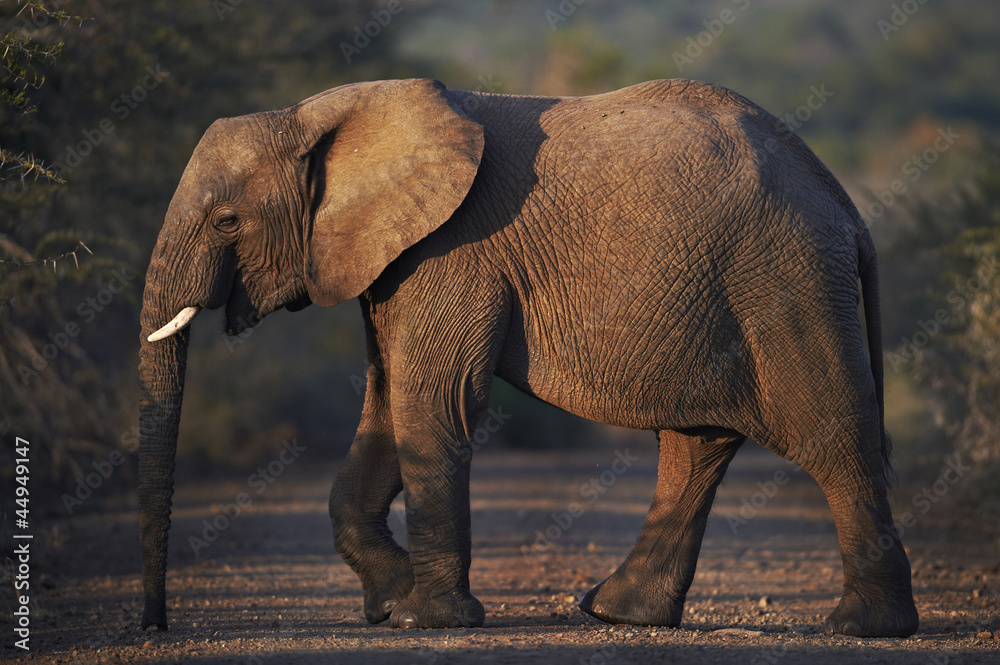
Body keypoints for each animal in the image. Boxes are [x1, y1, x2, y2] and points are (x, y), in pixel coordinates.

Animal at [139, 77, 919, 636]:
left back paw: (864, 629)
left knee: (833, 438)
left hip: (788, 283)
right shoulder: (392, 258)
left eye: (226, 221)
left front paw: (425, 619)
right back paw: (615, 612)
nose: (155, 628)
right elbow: (387, 402)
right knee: (696, 445)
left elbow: (433, 402)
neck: (315, 113)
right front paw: (391, 602)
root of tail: (846, 206)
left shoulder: (452, 249)